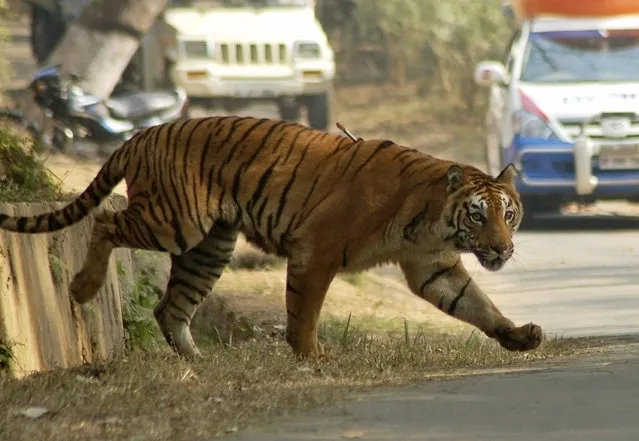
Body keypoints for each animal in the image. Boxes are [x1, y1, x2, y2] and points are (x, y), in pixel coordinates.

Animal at [0, 116, 544, 358]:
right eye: (478, 216)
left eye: (509, 215)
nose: (502, 248)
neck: (432, 219)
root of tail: (141, 134)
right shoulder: (317, 251)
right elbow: (304, 311)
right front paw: (311, 356)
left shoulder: (433, 267)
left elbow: (477, 305)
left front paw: (518, 335)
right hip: (176, 222)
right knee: (105, 223)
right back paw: (82, 288)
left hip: (208, 246)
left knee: (169, 308)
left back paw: (200, 363)